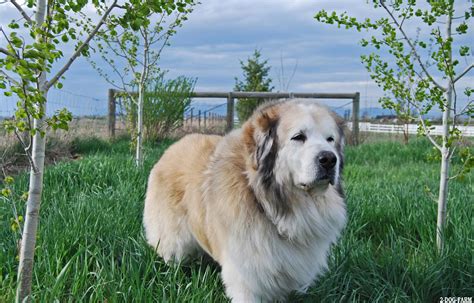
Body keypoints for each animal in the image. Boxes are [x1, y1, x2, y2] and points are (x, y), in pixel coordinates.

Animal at [143, 100, 346, 302]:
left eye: (330, 139)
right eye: (298, 137)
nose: (329, 159)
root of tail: (171, 148)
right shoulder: (246, 276)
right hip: (174, 240)